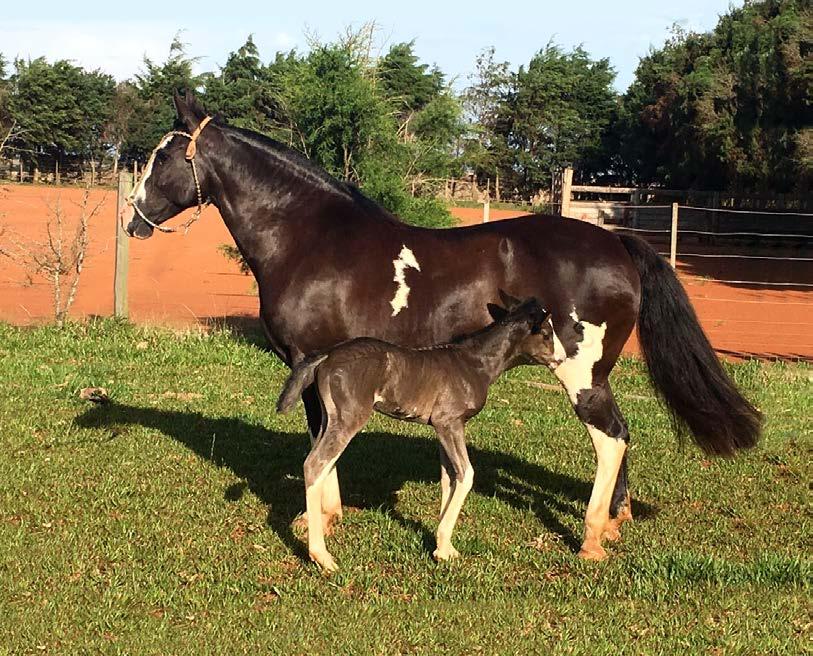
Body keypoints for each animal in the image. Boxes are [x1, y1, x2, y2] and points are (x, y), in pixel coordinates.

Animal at [276, 294, 556, 572]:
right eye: (546, 333)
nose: (560, 358)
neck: (474, 364)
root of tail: (326, 355)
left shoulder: (444, 427)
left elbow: (449, 477)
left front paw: (445, 547)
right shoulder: (449, 422)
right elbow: (466, 475)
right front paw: (442, 549)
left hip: (329, 418)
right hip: (349, 417)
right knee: (314, 464)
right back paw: (321, 556)